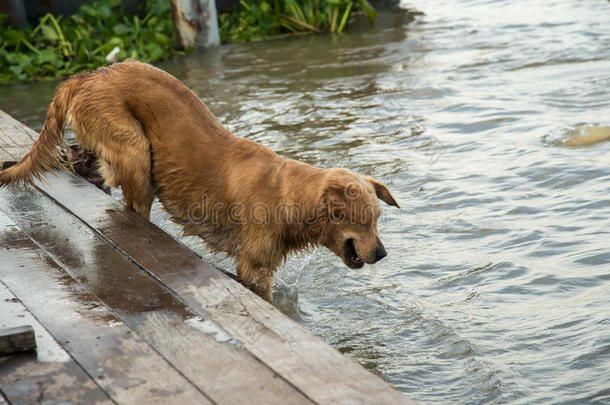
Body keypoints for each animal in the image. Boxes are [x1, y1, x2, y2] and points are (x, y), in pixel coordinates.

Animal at [0, 59, 400, 300]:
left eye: (378, 219)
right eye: (362, 220)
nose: (382, 254)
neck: (288, 195)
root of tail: (88, 75)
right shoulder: (254, 267)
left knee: (88, 165)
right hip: (136, 149)